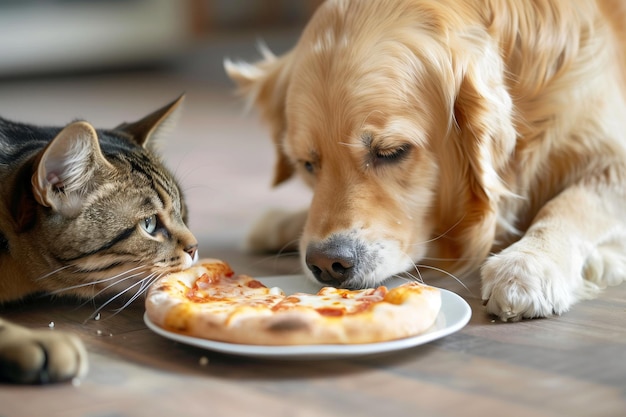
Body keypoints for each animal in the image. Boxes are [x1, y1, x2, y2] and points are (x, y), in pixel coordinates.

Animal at [227, 0, 624, 318]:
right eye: (308, 165)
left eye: (391, 152)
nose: (326, 263)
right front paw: (284, 222)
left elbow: (571, 203)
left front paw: (529, 264)